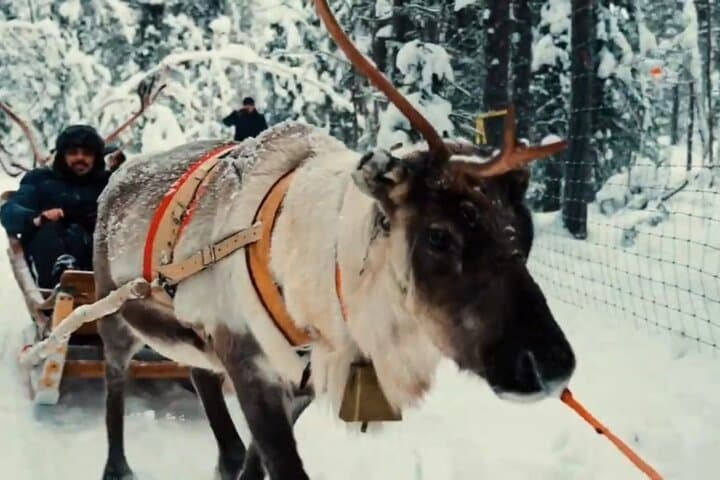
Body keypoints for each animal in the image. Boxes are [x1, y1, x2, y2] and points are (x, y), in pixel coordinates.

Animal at [92, 1, 576, 479]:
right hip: (113, 312)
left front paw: (241, 464)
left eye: (524, 233)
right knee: (114, 378)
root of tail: (116, 176)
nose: (551, 365)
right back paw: (117, 466)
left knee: (200, 375)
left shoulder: (303, 376)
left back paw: (224, 456)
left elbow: (257, 460)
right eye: (439, 235)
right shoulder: (248, 361)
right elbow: (282, 463)